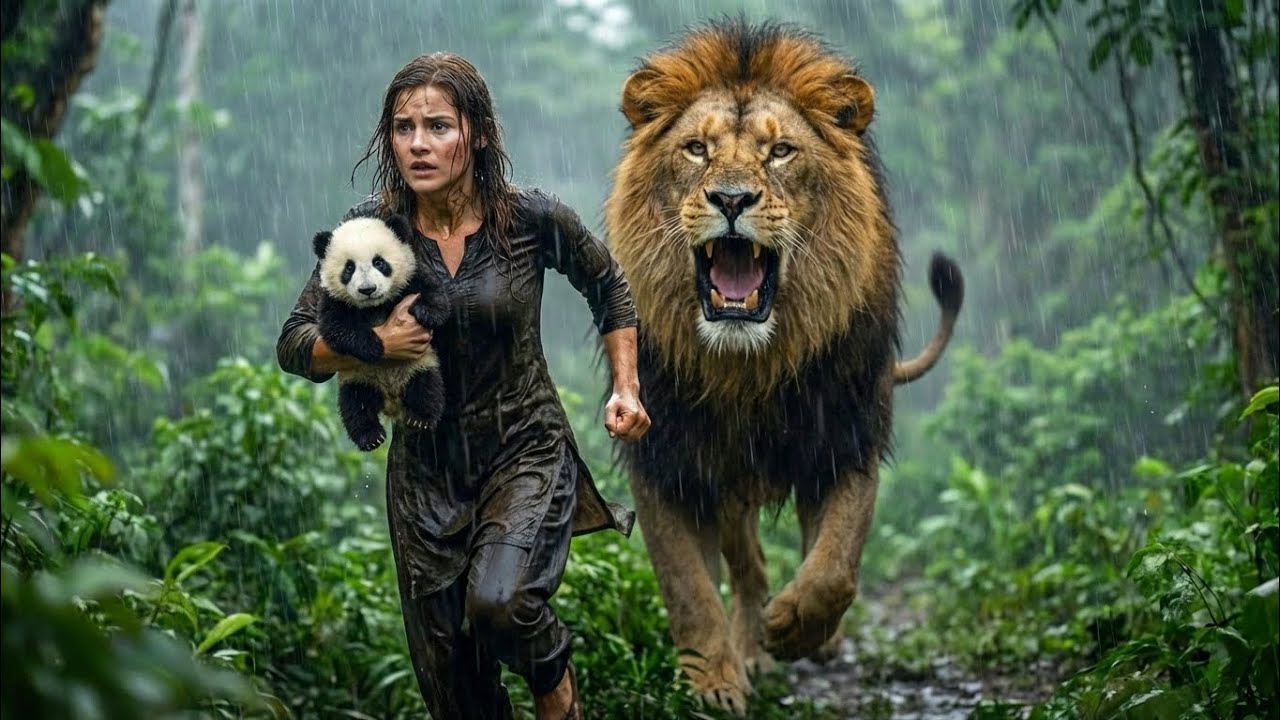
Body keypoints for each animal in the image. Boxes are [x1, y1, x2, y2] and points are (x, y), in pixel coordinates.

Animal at [312, 213, 449, 451]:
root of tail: (391, 402)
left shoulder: (411, 276)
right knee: (355, 406)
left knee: (427, 388)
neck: (374, 307)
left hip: (421, 365)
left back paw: (420, 418)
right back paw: (370, 436)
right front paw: (373, 346)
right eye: (349, 268)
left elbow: (436, 294)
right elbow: (336, 327)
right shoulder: (334, 301)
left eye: (379, 262)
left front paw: (426, 312)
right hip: (357, 378)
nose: (367, 289)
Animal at [602, 19, 964, 715]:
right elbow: (688, 588)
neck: (747, 367)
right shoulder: (668, 459)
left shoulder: (847, 434)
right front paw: (711, 683)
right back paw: (748, 652)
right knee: (748, 565)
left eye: (781, 153)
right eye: (696, 149)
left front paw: (795, 627)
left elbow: (836, 566)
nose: (731, 198)